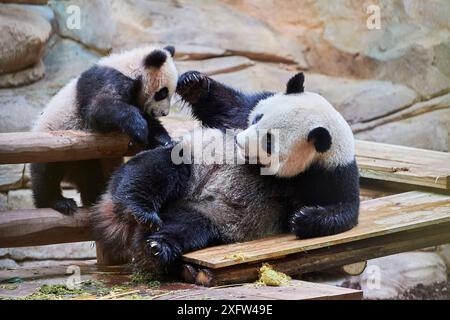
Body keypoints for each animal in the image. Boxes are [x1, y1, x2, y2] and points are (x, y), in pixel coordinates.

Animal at [31, 45, 178, 215]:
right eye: (163, 93)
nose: (164, 113)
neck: (130, 67)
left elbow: (150, 123)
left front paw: (165, 141)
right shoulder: (108, 79)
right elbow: (100, 108)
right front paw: (139, 129)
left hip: (88, 160)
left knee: (93, 174)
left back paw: (95, 197)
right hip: (52, 139)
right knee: (46, 173)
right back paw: (57, 202)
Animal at [91, 71, 358, 272]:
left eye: (269, 142)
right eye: (258, 119)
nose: (238, 142)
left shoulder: (330, 172)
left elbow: (345, 209)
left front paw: (302, 219)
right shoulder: (244, 113)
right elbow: (228, 108)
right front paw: (194, 83)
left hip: (215, 216)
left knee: (189, 225)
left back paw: (157, 247)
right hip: (191, 162)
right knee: (158, 169)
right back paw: (139, 208)